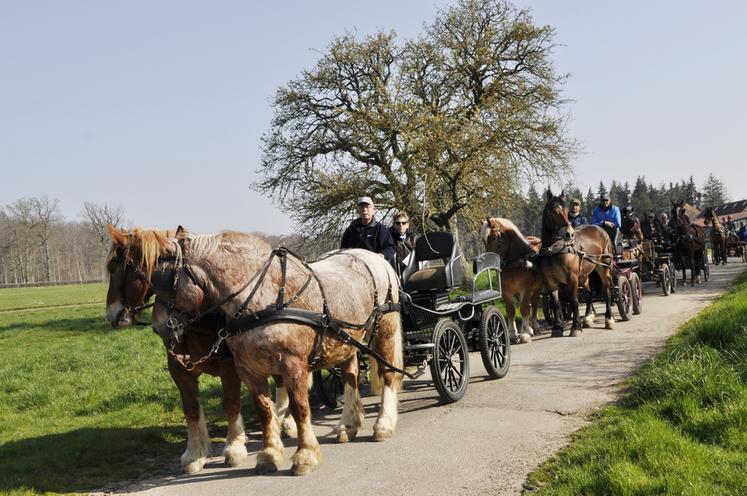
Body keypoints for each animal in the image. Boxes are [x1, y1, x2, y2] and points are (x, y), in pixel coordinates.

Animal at [104, 227, 258, 474]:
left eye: (113, 268)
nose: (110, 315)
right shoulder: (179, 371)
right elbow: (192, 410)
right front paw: (195, 454)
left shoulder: (230, 367)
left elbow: (231, 404)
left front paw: (234, 447)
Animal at [148, 230, 404, 476]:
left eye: (170, 280)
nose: (158, 327)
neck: (263, 297)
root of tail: (373, 257)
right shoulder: (249, 371)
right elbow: (265, 412)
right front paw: (269, 455)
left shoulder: (294, 367)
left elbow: (300, 408)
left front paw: (305, 455)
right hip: (347, 340)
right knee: (350, 376)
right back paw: (347, 425)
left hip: (385, 330)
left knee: (387, 374)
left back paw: (383, 424)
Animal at [536, 190, 616, 338]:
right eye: (554, 211)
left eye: (566, 210)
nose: (570, 234)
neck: (553, 249)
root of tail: (600, 229)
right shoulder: (549, 281)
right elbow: (556, 304)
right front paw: (557, 328)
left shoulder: (572, 277)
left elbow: (574, 300)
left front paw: (576, 327)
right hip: (584, 274)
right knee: (589, 293)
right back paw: (588, 317)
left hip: (603, 267)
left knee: (606, 290)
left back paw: (609, 318)